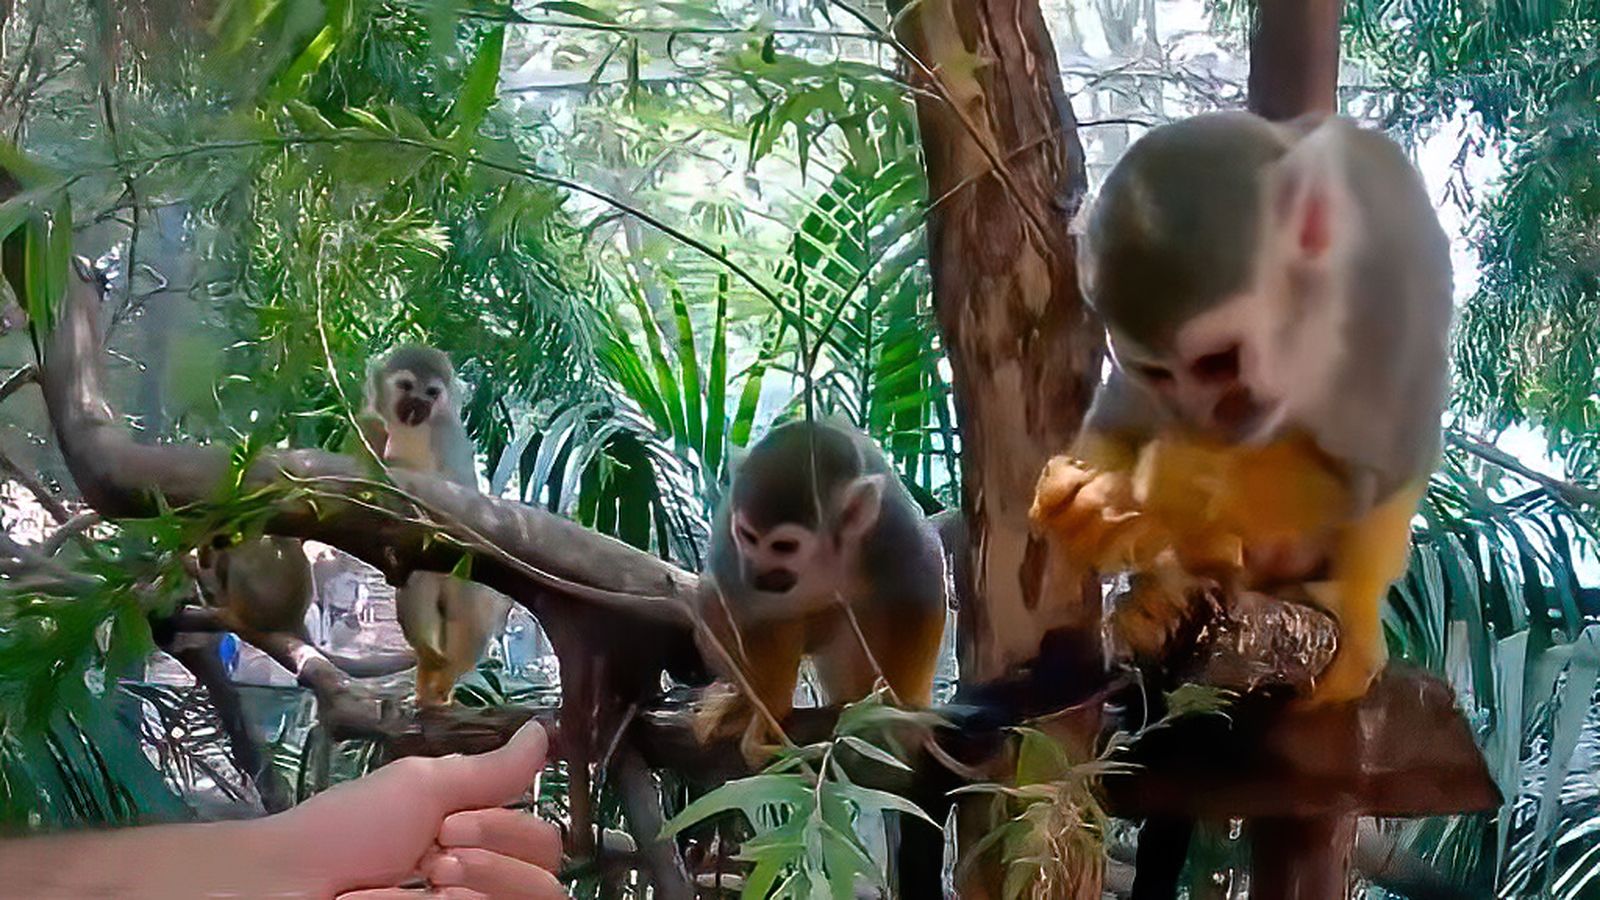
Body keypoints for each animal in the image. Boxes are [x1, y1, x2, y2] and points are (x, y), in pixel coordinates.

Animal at [365, 344, 513, 707]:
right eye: (406, 386)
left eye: (432, 393)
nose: (418, 405)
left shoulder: (446, 432)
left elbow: (455, 490)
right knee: (416, 587)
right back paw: (429, 664)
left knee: (469, 615)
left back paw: (447, 677)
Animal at [694, 417, 948, 764]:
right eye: (747, 536)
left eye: (784, 547)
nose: (756, 574)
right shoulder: (731, 546)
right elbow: (750, 614)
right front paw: (768, 707)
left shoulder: (892, 528)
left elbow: (919, 596)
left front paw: (904, 703)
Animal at [1031, 111, 1452, 707]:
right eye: (1158, 373)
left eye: (1219, 363)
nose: (1202, 415)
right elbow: (1120, 422)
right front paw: (1090, 511)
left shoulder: (1384, 299)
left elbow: (1371, 477)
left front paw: (1182, 483)